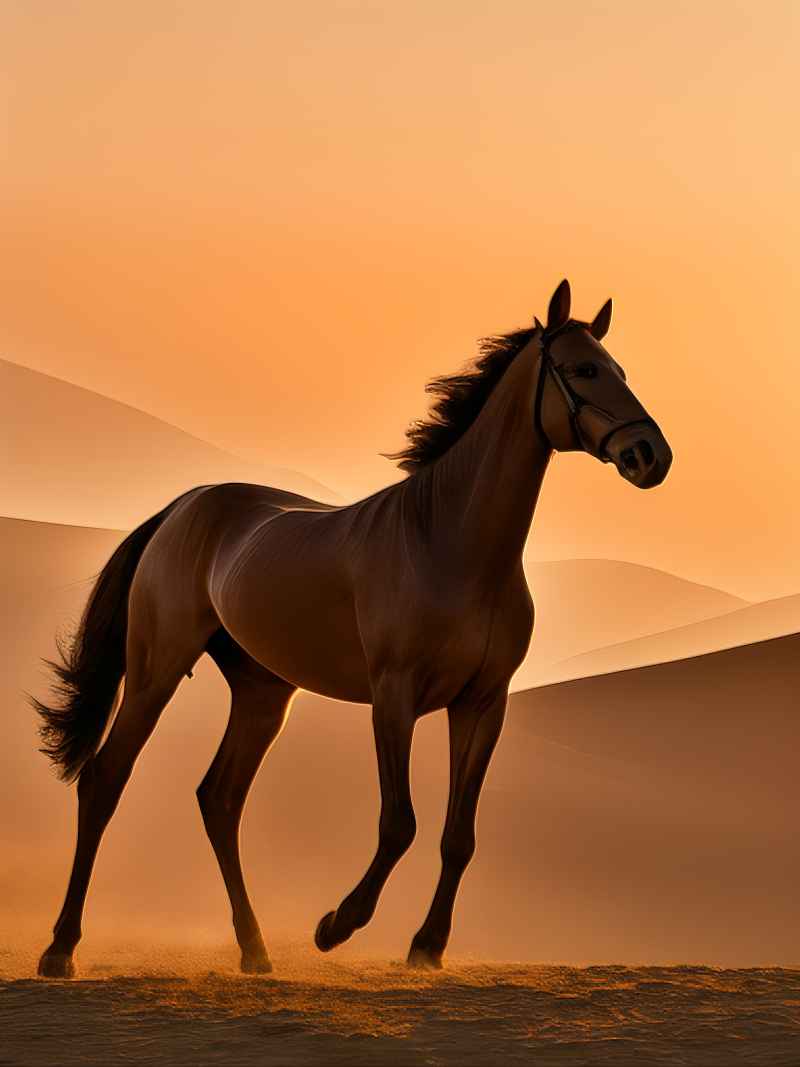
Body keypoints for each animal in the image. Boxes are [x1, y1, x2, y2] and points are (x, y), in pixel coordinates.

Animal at [34, 279, 672, 978]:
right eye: (583, 371)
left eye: (620, 370)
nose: (651, 456)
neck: (451, 543)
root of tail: (184, 507)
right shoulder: (395, 699)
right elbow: (400, 824)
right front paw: (335, 926)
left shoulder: (482, 704)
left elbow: (459, 834)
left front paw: (426, 947)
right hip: (157, 672)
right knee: (105, 781)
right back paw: (61, 949)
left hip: (263, 693)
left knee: (219, 799)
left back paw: (255, 950)